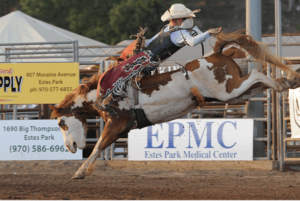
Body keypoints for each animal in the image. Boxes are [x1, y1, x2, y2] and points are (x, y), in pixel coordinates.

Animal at [49, 31, 300, 179]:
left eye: (61, 123)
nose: (70, 147)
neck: (102, 94)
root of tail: (216, 55)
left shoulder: (116, 124)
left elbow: (99, 146)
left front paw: (79, 171)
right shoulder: (121, 128)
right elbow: (101, 147)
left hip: (229, 90)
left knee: (257, 74)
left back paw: (289, 78)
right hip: (234, 95)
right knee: (260, 83)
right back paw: (287, 81)